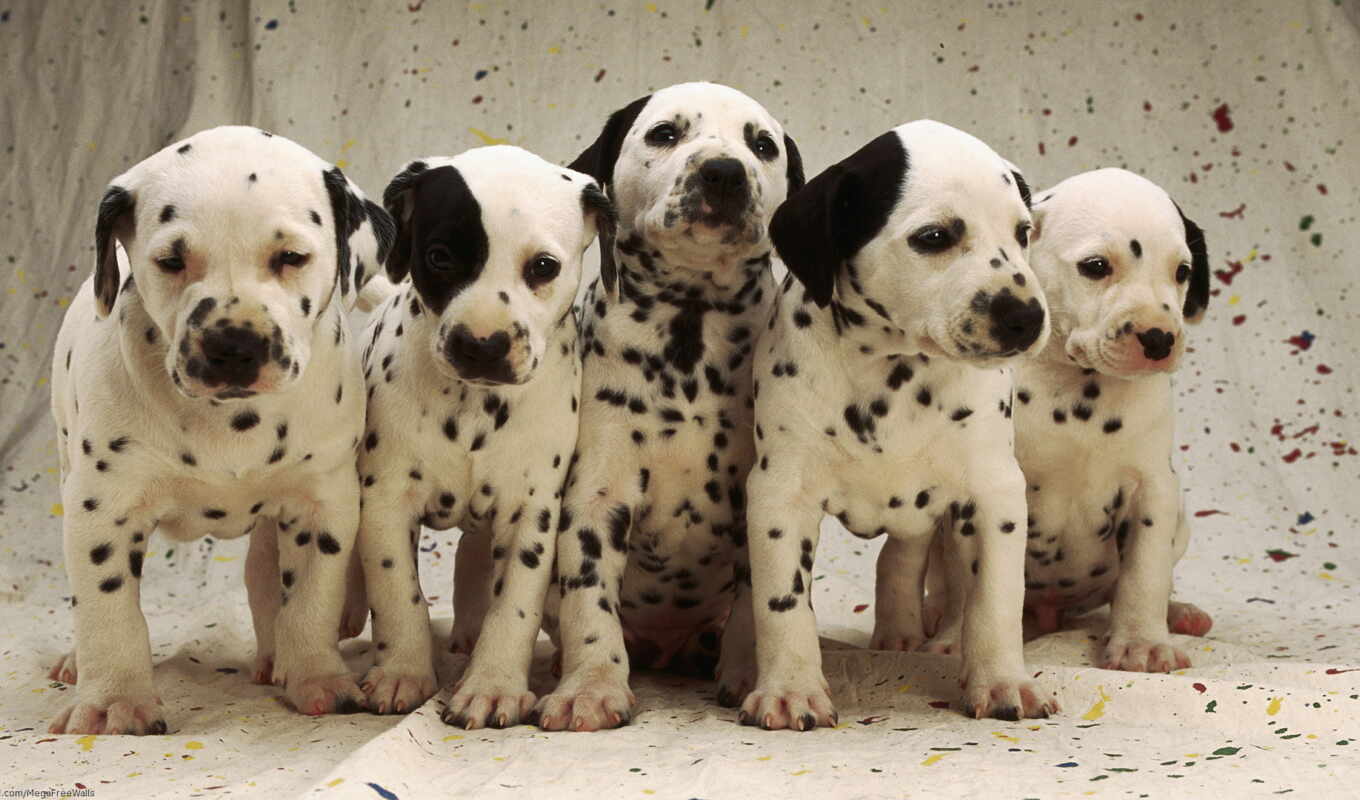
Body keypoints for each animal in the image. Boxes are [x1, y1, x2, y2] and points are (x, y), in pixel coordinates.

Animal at [46, 126, 394, 740]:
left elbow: (311, 599)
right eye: (171, 260)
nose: (233, 344)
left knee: (263, 578)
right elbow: (109, 610)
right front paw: (114, 699)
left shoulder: (324, 502)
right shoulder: (101, 510)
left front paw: (317, 677)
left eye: (291, 257)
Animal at [353, 146, 614, 729]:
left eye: (544, 267)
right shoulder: (385, 503)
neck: (474, 407)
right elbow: (397, 594)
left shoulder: (532, 512)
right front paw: (403, 671)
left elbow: (513, 605)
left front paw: (492, 684)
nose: (482, 343)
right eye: (440, 257)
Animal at [533, 82, 805, 729]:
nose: (724, 172)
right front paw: (590, 687)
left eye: (763, 145)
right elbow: (589, 604)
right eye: (665, 133)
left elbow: (756, 601)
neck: (690, 327)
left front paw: (752, 674)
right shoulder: (595, 499)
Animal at [739, 120, 1055, 729]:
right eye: (933, 238)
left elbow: (996, 599)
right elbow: (781, 603)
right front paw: (790, 689)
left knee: (908, 558)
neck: (895, 373)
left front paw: (1003, 681)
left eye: (1023, 231)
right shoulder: (780, 493)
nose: (1027, 318)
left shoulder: (994, 492)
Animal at [1011, 170, 1213, 674]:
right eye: (1096, 266)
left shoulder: (1152, 491)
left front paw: (1142, 642)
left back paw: (1179, 613)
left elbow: (1144, 575)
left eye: (1182, 272)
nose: (1159, 339)